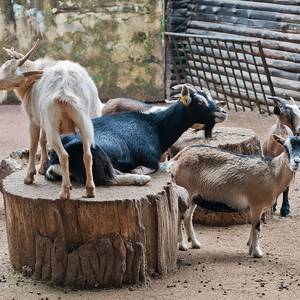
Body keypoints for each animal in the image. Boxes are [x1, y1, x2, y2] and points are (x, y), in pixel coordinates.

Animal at [0, 39, 102, 199]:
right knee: (88, 155)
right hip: (86, 122)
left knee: (64, 155)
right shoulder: (44, 121)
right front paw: (42, 167)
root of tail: (65, 91)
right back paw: (90, 190)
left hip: (53, 124)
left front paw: (30, 176)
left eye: (18, 80)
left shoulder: (34, 120)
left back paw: (65, 191)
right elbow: (43, 140)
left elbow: (34, 144)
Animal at [45, 84, 227, 185]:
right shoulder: (150, 157)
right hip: (93, 153)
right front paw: (140, 170)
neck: (155, 124)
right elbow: (156, 166)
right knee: (109, 178)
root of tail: (53, 162)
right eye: (200, 102)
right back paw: (140, 178)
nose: (223, 112)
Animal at [170, 135, 300, 256]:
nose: (296, 162)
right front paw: (257, 252)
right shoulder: (256, 205)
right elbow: (257, 227)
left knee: (187, 217)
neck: (273, 173)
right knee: (179, 217)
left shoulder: (258, 208)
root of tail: (179, 156)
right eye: (285, 147)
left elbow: (253, 226)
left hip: (194, 198)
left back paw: (195, 243)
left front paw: (250, 247)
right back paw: (182, 245)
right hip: (186, 192)